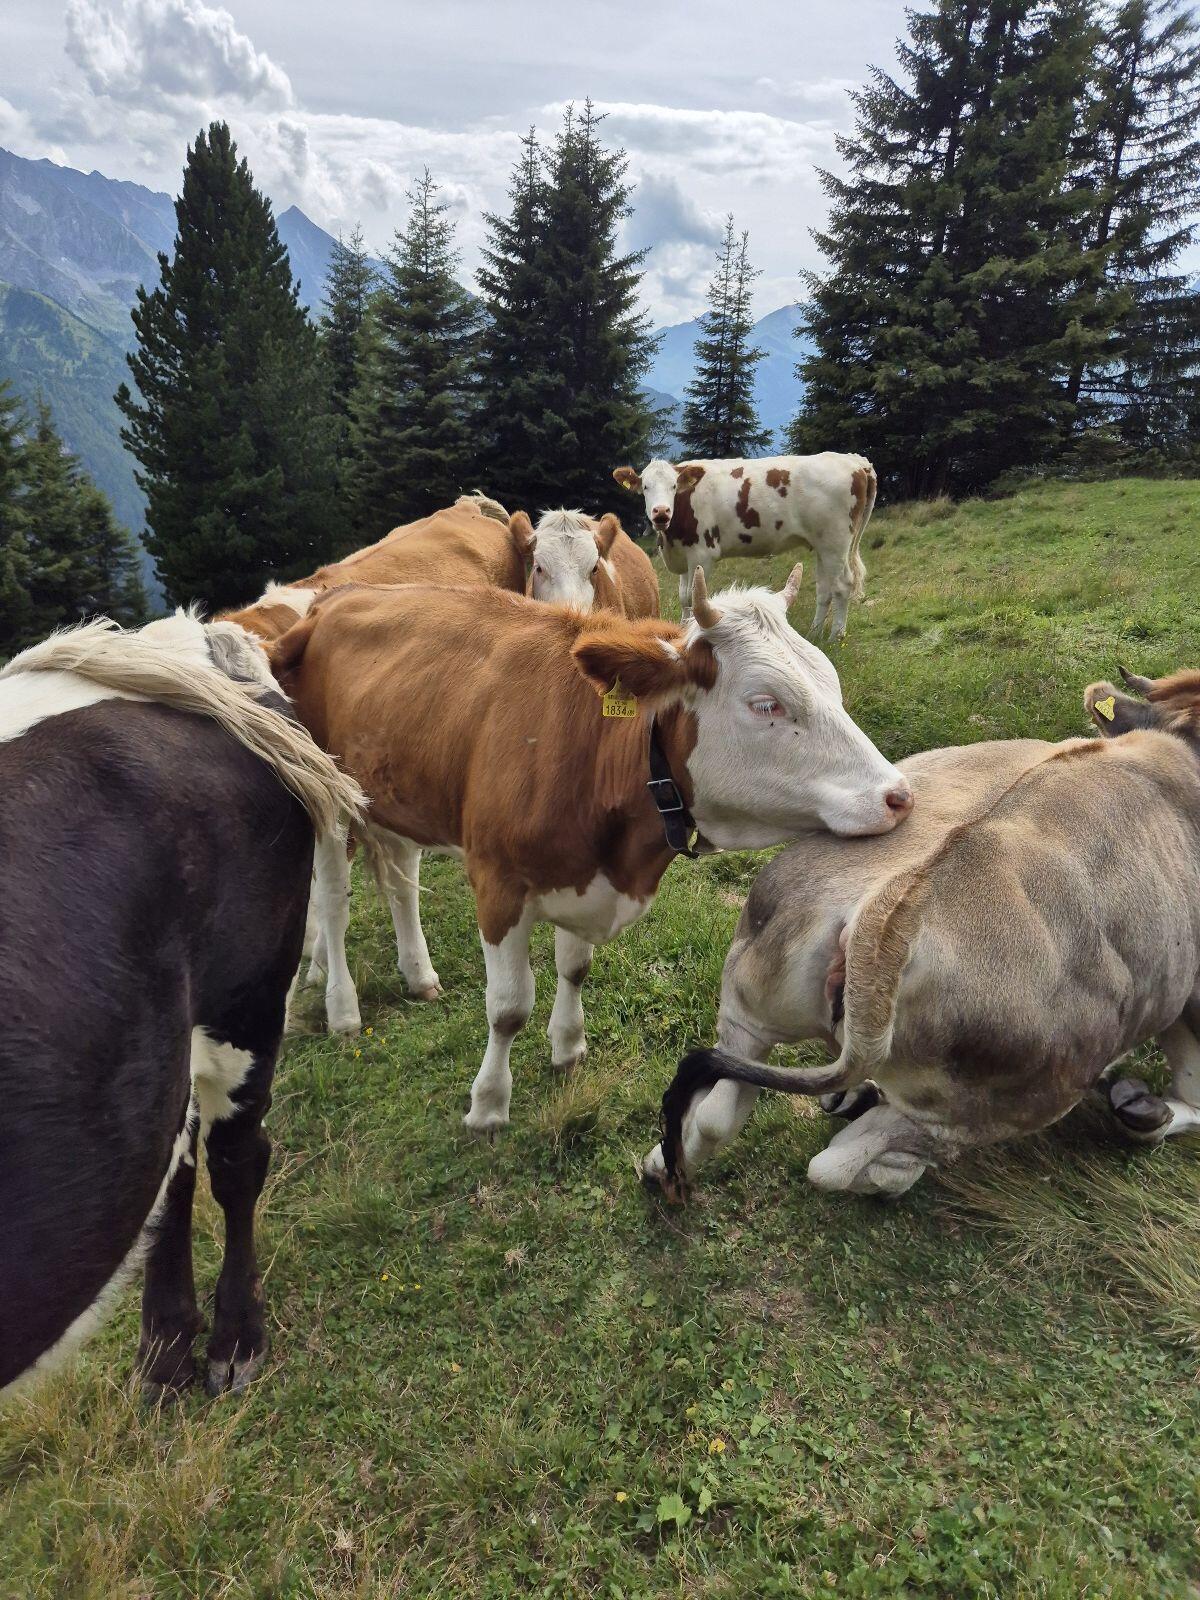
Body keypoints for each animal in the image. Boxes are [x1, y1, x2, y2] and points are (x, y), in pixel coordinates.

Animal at [269, 565, 914, 1129]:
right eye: (766, 704)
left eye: (831, 683)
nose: (898, 796)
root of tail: (331, 600)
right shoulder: (498, 883)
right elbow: (507, 1007)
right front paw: (488, 1105)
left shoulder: (585, 877)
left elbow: (574, 968)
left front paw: (567, 1047)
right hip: (327, 800)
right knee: (334, 902)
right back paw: (342, 1008)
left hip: (396, 796)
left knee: (403, 883)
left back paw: (418, 973)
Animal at [612, 454, 876, 639]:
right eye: (645, 487)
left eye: (673, 487)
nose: (661, 512)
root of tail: (855, 461)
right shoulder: (684, 554)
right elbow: (684, 597)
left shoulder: (702, 554)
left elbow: (693, 596)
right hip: (822, 544)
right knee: (824, 589)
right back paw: (815, 633)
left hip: (836, 540)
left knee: (842, 586)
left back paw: (836, 636)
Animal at [647, 668, 1200, 1202]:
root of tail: (891, 913)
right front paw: (1149, 1111)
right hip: (977, 1112)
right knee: (840, 1163)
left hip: (748, 1003)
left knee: (721, 1113)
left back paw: (660, 1164)